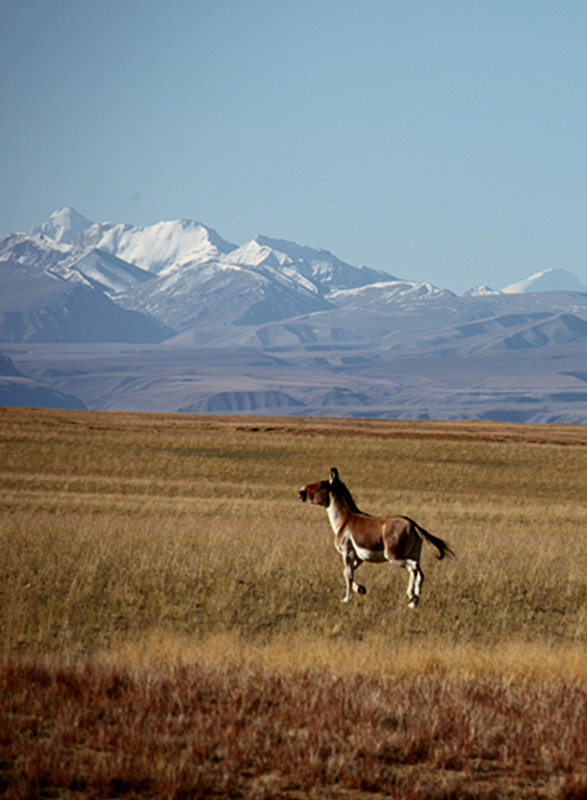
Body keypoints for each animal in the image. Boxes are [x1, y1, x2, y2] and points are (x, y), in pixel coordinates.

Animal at [298, 468, 454, 608]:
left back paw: (412, 596)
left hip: (393, 556)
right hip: (413, 554)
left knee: (414, 567)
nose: (301, 492)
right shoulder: (359, 558)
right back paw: (413, 602)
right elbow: (345, 573)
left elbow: (348, 575)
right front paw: (361, 589)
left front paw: (347, 599)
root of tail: (412, 524)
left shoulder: (347, 553)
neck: (345, 520)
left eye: (320, 484)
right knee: (420, 572)